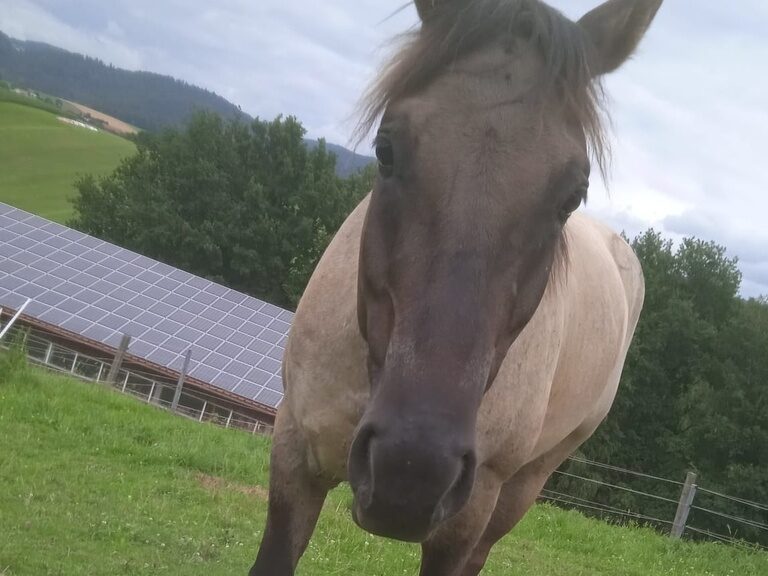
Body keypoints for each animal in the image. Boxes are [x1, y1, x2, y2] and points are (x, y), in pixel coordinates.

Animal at [250, 0, 660, 574]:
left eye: (572, 196)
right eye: (386, 149)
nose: (410, 471)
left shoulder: (468, 508)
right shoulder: (293, 452)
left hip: (522, 485)